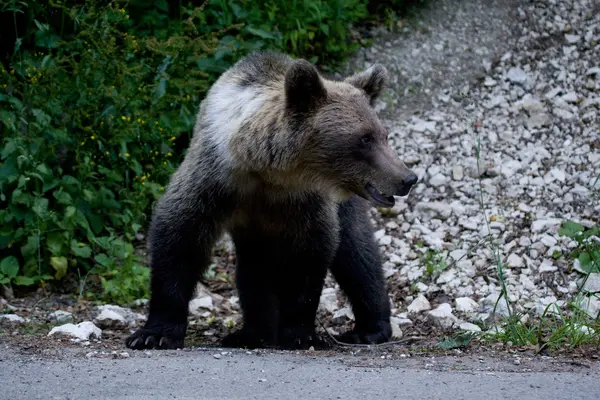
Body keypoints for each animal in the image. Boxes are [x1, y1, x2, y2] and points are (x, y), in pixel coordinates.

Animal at [126, 50, 418, 350]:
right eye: (364, 138)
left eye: (383, 135)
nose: (407, 178)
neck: (267, 171)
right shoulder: (215, 180)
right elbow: (179, 237)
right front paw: (153, 334)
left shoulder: (305, 201)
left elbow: (310, 256)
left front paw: (299, 334)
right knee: (254, 269)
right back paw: (252, 334)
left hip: (344, 206)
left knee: (357, 254)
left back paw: (369, 329)